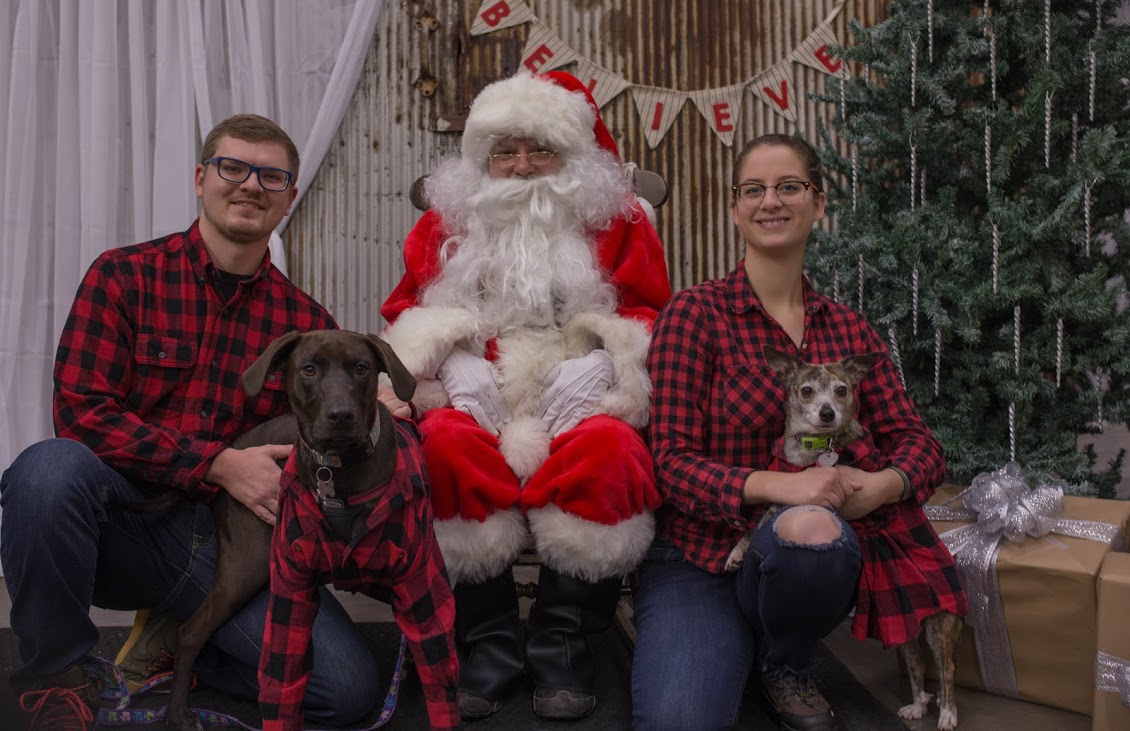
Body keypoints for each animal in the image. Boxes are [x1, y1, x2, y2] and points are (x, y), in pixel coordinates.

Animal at [723, 347, 962, 731]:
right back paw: (918, 705)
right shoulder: (782, 488)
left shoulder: (824, 496)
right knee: (917, 665)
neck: (814, 449)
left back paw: (947, 714)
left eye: (842, 390)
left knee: (947, 670)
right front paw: (737, 551)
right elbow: (757, 522)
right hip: (907, 633)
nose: (827, 413)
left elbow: (773, 517)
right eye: (806, 391)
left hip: (939, 627)